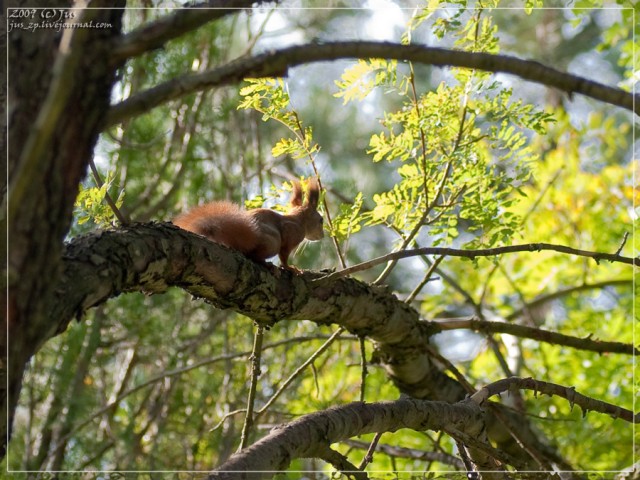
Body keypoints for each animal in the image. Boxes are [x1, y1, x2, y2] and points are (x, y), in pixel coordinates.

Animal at [174, 177, 324, 270]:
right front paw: (290, 268)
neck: (299, 220)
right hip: (273, 242)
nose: (322, 236)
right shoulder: (291, 233)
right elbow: (284, 255)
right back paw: (267, 264)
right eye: (321, 220)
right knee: (254, 255)